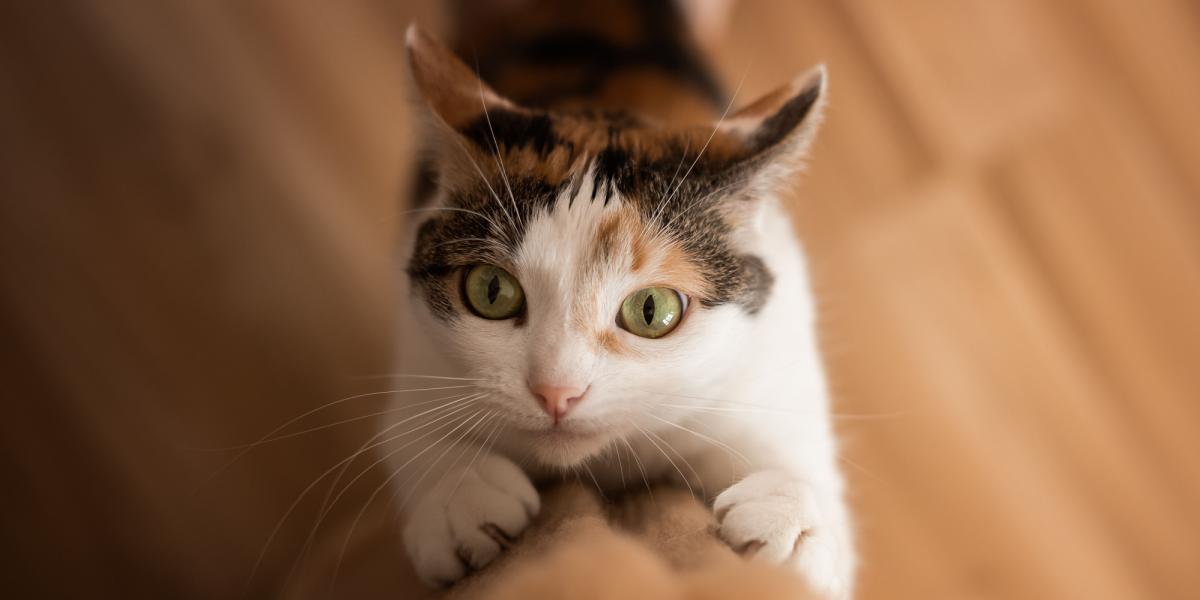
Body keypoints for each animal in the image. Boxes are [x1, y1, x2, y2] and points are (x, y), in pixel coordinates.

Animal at [386, 2, 854, 597]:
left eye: (651, 310)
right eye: (491, 291)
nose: (556, 392)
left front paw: (792, 521)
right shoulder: (416, 349)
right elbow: (410, 428)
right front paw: (458, 494)